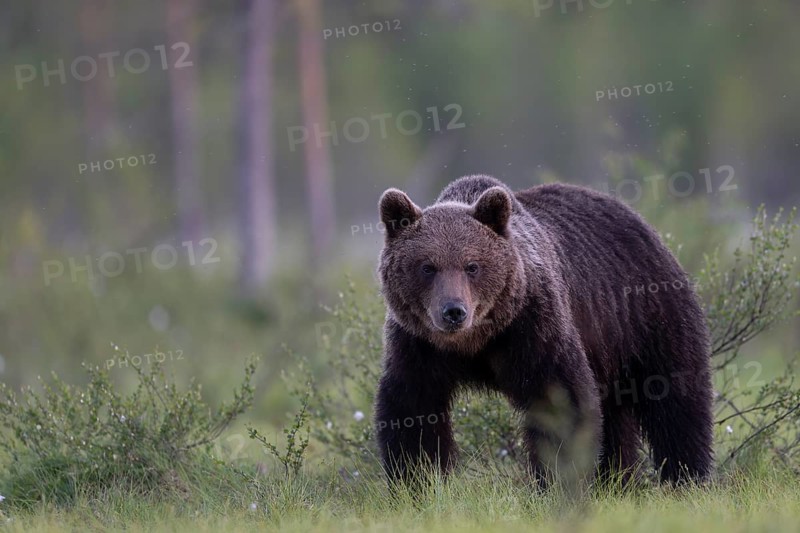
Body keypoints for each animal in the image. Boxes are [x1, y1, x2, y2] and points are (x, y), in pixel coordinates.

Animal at [374, 174, 713, 489]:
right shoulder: (417, 345)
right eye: (427, 267)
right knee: (616, 416)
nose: (454, 311)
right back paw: (617, 481)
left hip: (646, 315)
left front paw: (555, 481)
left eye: (472, 266)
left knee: (675, 397)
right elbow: (414, 410)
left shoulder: (533, 327)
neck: (476, 343)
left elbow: (560, 400)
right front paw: (417, 482)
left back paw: (687, 477)